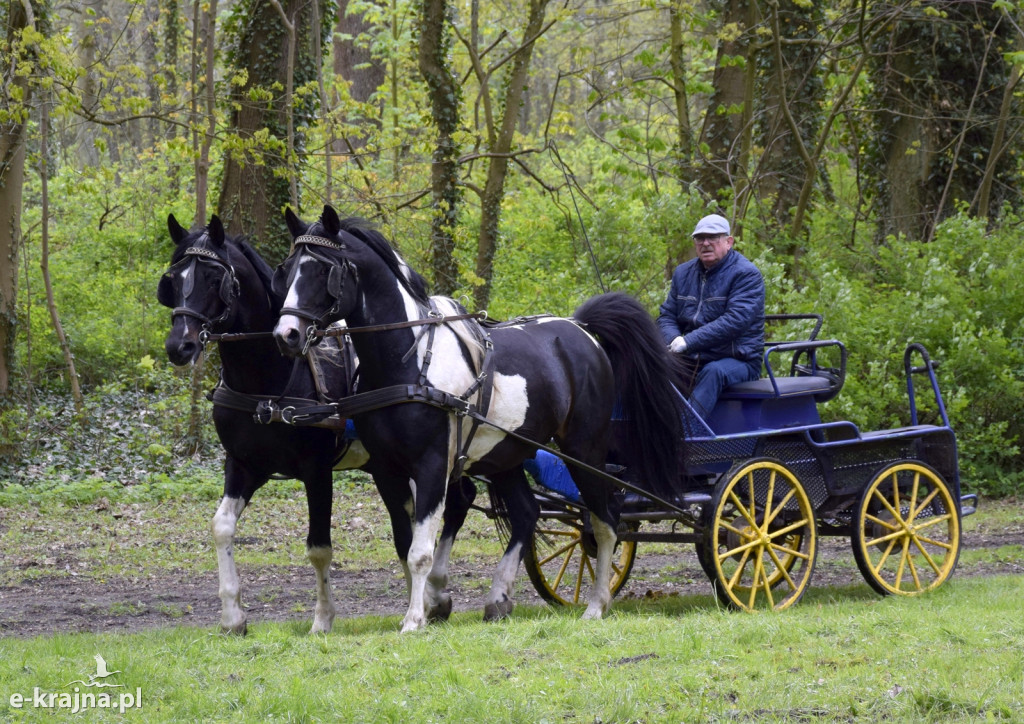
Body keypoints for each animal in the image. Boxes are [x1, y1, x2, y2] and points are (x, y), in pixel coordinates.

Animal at [272, 205, 684, 634]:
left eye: (323, 271)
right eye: (286, 270)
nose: (286, 334)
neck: (408, 362)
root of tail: (580, 329)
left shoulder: (433, 464)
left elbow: (420, 550)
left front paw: (415, 619)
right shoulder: (386, 470)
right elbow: (405, 545)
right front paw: (426, 606)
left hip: (583, 450)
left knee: (605, 522)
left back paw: (597, 603)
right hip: (507, 454)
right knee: (527, 513)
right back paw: (499, 597)